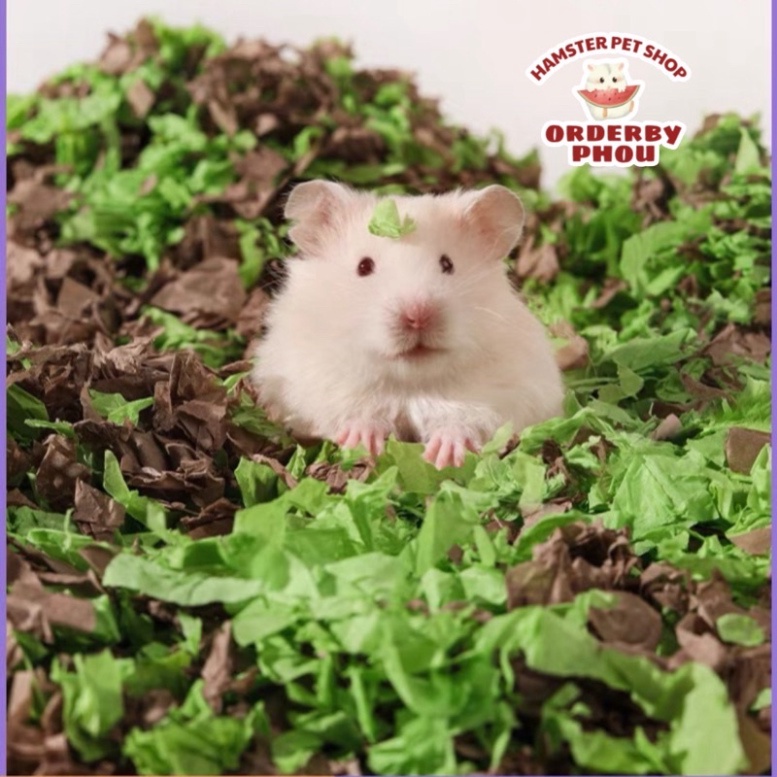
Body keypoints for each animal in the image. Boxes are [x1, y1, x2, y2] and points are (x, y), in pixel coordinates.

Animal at [252, 181, 564, 470]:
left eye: (447, 264)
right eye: (364, 266)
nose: (417, 316)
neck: (409, 384)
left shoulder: (510, 392)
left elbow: (467, 418)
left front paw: (443, 456)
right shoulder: (314, 384)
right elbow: (353, 412)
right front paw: (362, 442)